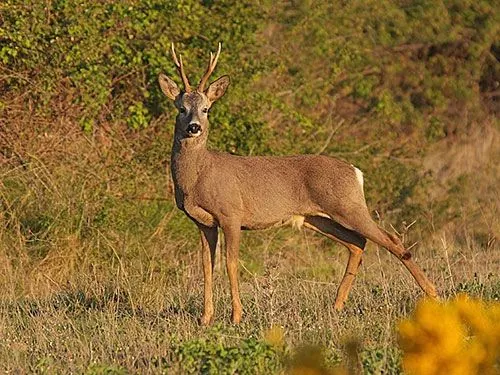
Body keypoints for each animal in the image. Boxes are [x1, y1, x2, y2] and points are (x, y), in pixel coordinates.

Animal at [159, 42, 438, 326]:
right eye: (181, 109)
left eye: (206, 109)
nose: (194, 127)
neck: (198, 178)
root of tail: (355, 172)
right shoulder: (203, 223)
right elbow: (207, 266)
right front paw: (206, 318)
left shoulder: (231, 214)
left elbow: (231, 264)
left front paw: (236, 316)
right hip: (319, 218)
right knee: (357, 243)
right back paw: (337, 305)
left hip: (349, 207)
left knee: (392, 239)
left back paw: (433, 295)